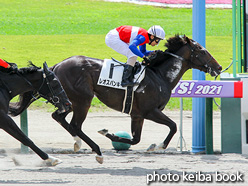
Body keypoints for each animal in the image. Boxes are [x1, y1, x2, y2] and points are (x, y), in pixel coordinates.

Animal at [9, 34, 223, 163]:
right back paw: (96, 150)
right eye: (202, 50)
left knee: (60, 117)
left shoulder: (137, 115)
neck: (160, 76)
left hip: (67, 99)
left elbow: (135, 139)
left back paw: (78, 143)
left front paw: (115, 136)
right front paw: (158, 145)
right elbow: (173, 126)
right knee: (75, 124)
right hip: (83, 99)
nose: (219, 67)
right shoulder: (150, 111)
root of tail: (58, 65)